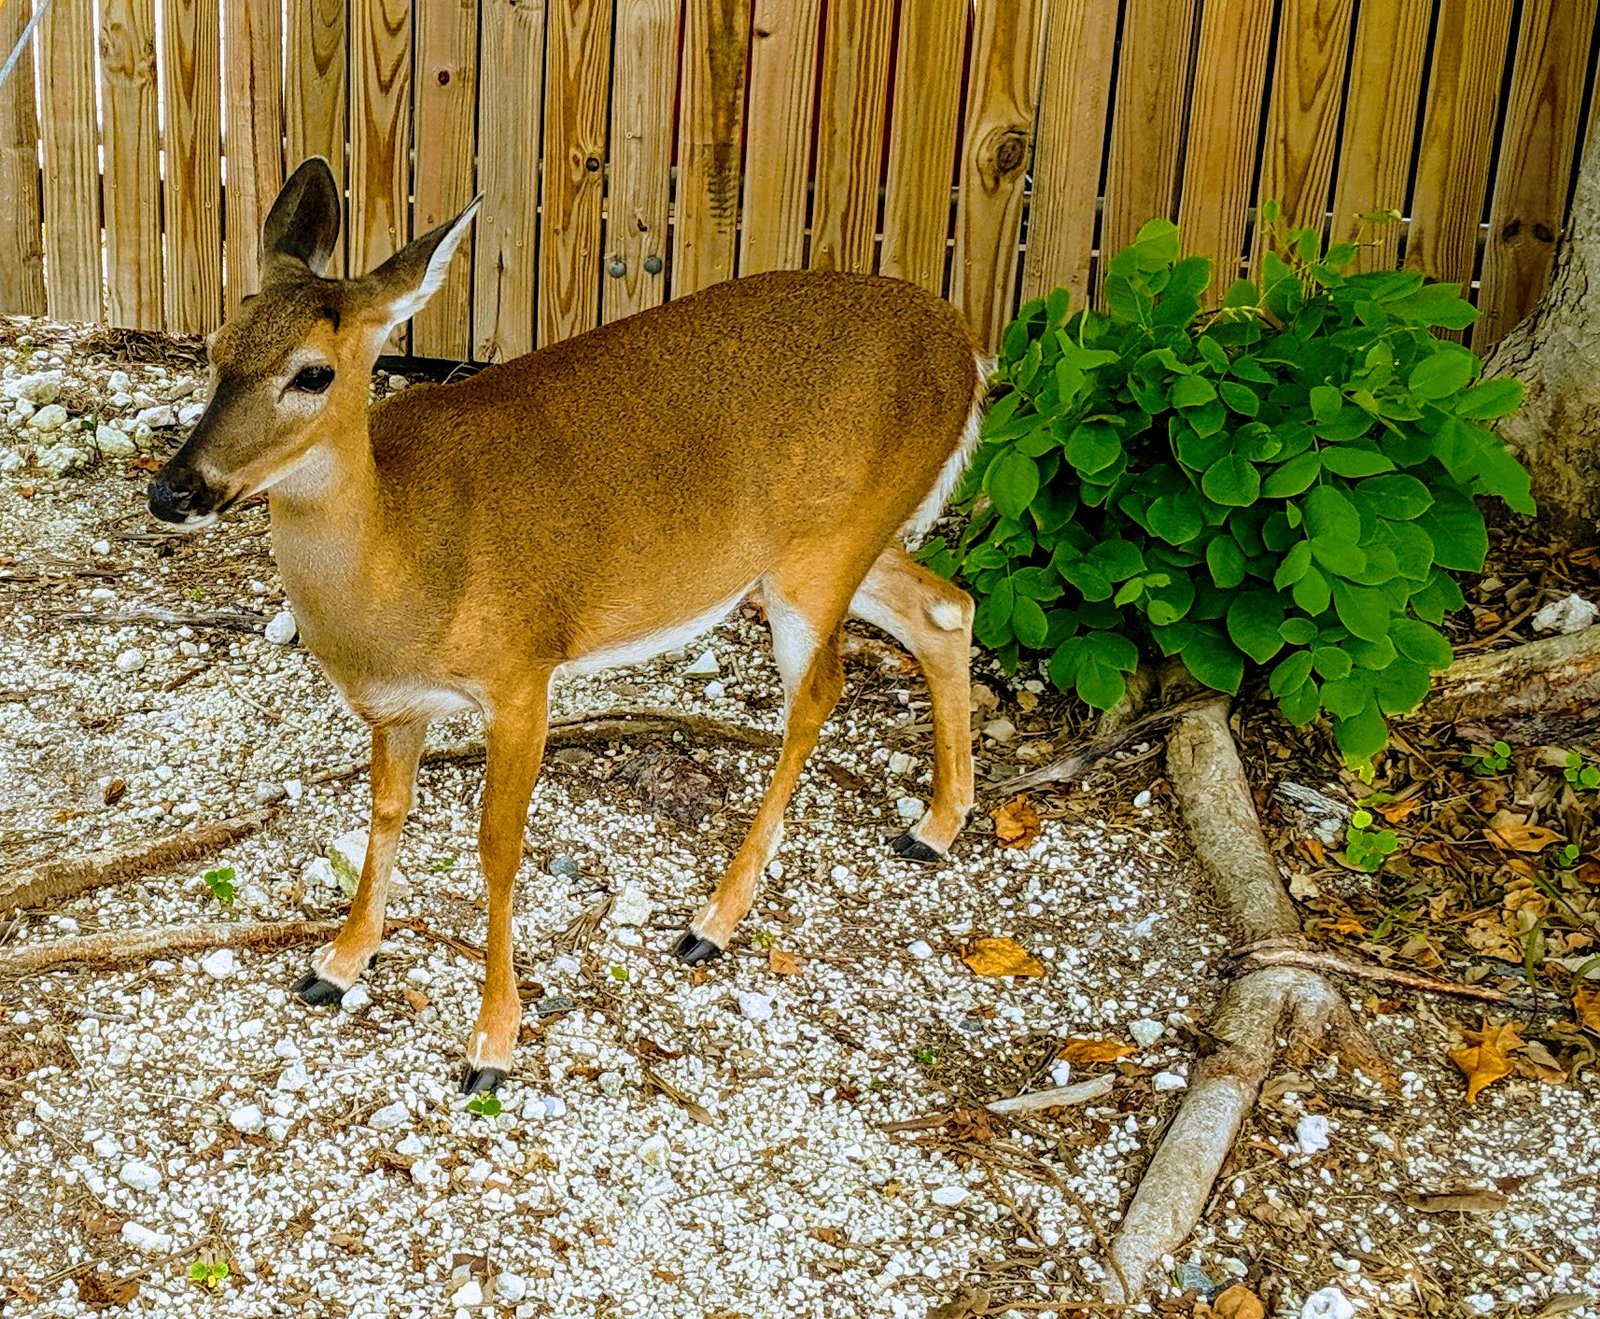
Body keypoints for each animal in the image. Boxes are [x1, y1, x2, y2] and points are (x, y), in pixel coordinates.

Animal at [148, 158, 986, 1095]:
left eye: (313, 374)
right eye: (216, 346)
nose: (173, 490)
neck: (405, 563)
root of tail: (966, 344)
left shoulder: (522, 671)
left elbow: (498, 846)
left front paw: (492, 1041)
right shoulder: (397, 705)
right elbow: (386, 812)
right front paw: (336, 962)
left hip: (825, 550)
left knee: (821, 693)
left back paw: (711, 921)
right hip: (825, 548)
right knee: (946, 607)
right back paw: (933, 827)